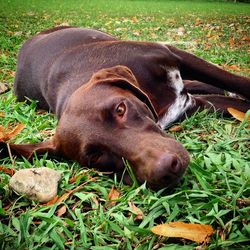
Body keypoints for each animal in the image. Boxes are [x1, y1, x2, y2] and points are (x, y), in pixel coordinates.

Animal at [0, 26, 249, 189]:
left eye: (120, 109)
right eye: (96, 157)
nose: (166, 168)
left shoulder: (175, 56)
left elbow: (237, 81)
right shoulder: (194, 105)